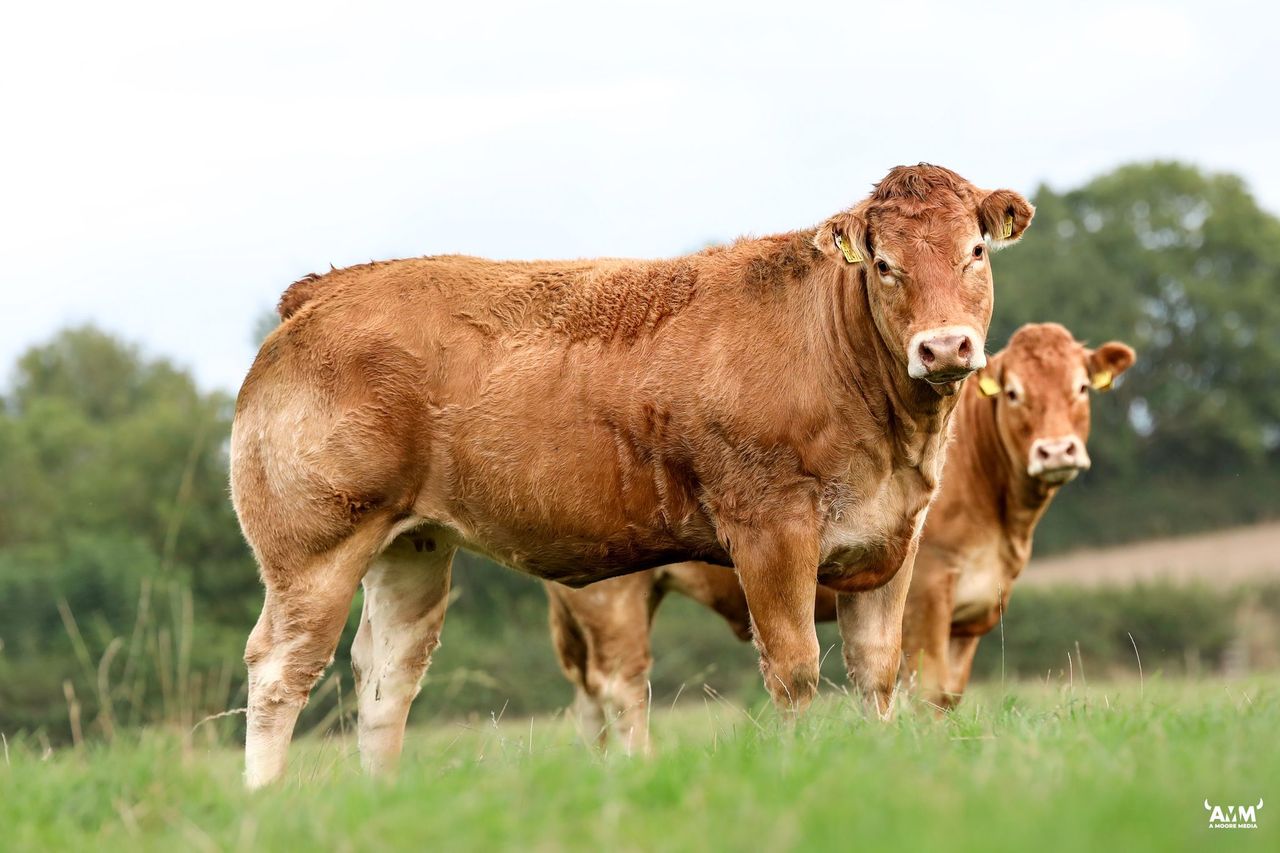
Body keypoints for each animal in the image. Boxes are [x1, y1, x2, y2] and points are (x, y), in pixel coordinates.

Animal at [229, 164, 1033, 787]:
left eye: (974, 250)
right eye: (884, 264)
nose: (944, 346)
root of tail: (325, 291)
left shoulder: (888, 541)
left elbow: (877, 670)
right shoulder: (771, 530)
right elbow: (796, 668)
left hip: (412, 546)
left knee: (387, 676)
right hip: (315, 547)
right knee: (281, 669)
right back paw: (266, 803)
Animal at [547, 322, 1133, 746]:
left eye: (1082, 388)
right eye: (1013, 394)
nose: (1055, 451)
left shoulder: (971, 611)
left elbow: (948, 694)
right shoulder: (927, 589)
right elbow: (925, 688)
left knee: (588, 697)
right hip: (612, 592)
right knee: (621, 687)